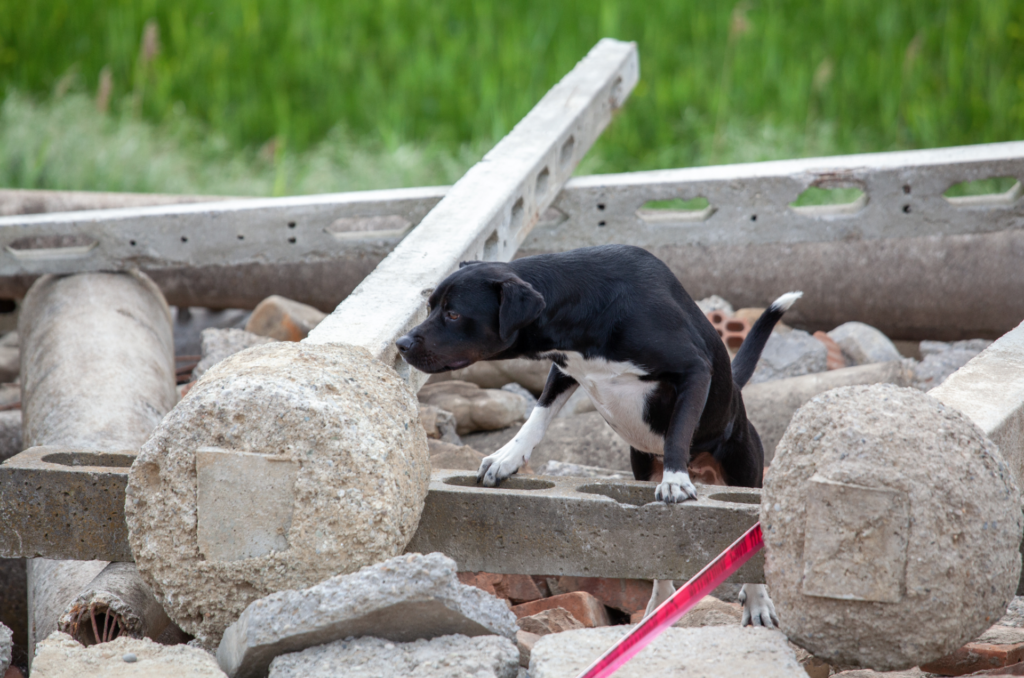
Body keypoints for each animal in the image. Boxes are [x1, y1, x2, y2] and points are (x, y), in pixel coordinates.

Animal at [395, 244, 794, 626]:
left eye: (453, 314)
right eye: (431, 307)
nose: (400, 343)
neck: (584, 311)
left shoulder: (693, 369)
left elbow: (679, 430)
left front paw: (676, 479)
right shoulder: (563, 369)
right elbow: (537, 415)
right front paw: (507, 457)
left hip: (743, 471)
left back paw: (757, 601)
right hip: (641, 466)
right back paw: (659, 607)